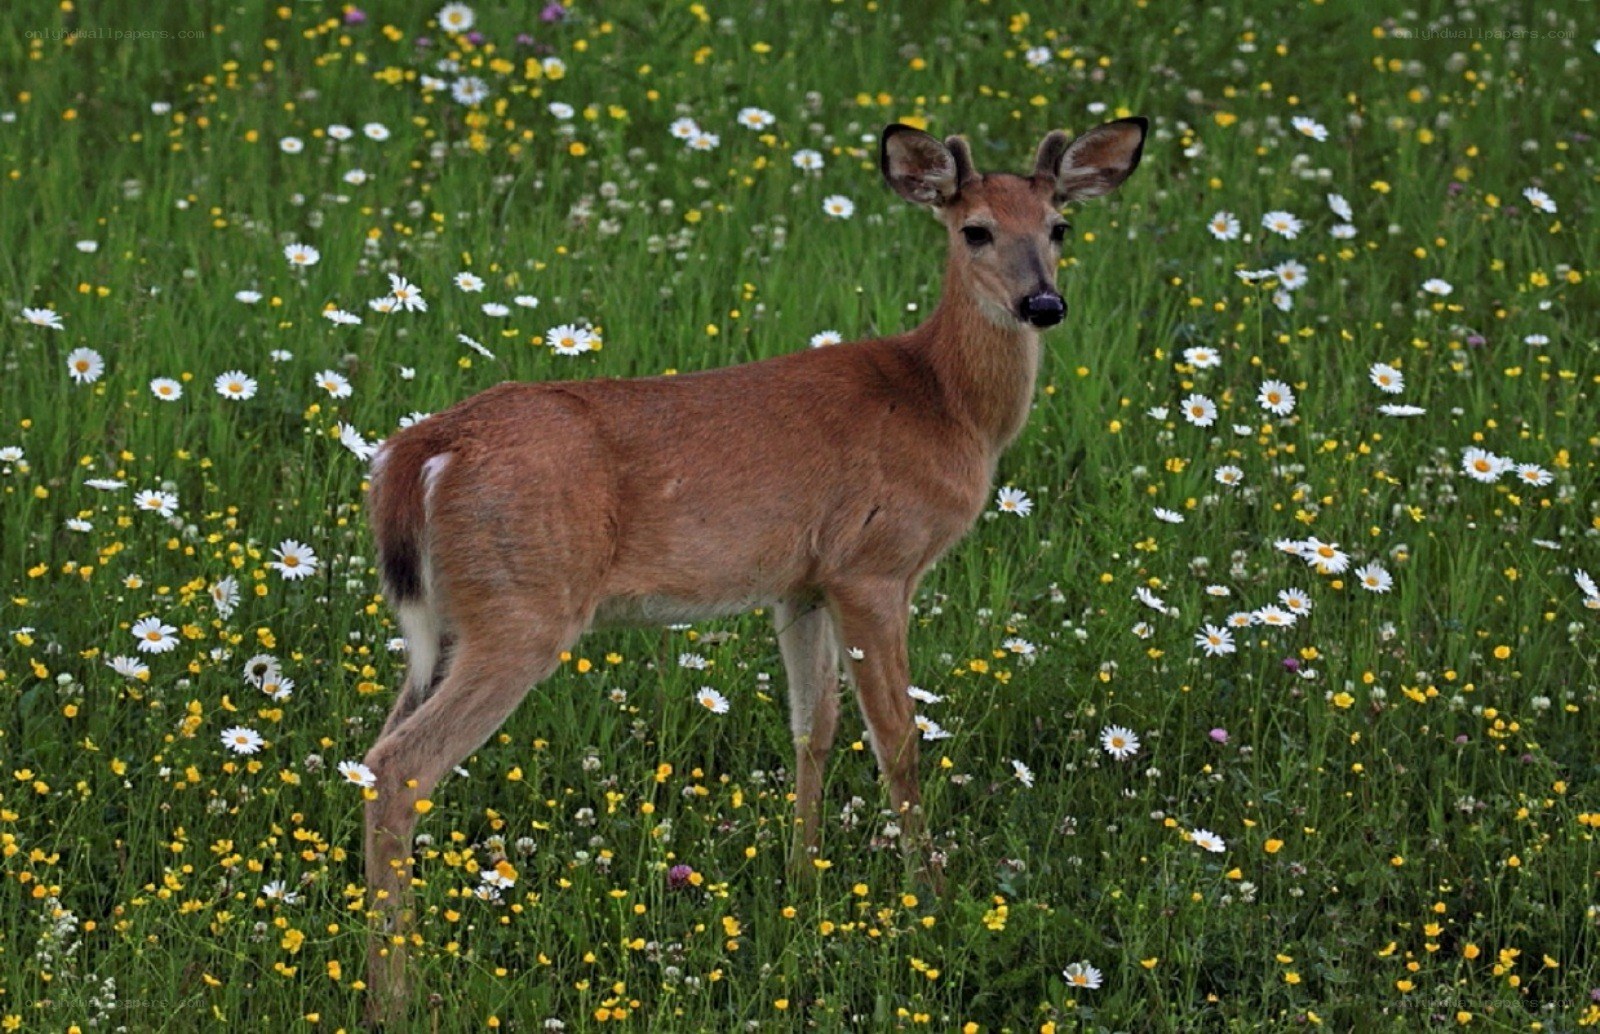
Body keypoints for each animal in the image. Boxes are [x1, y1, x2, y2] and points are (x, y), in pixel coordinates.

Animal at [360, 115, 1147, 1023]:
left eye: (1060, 228)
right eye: (975, 230)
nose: (1042, 303)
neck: (948, 403)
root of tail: (422, 452)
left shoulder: (802, 584)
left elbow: (814, 728)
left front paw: (802, 882)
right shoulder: (874, 566)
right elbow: (899, 741)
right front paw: (932, 900)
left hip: (451, 620)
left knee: (371, 755)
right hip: (522, 609)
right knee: (399, 768)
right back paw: (395, 998)